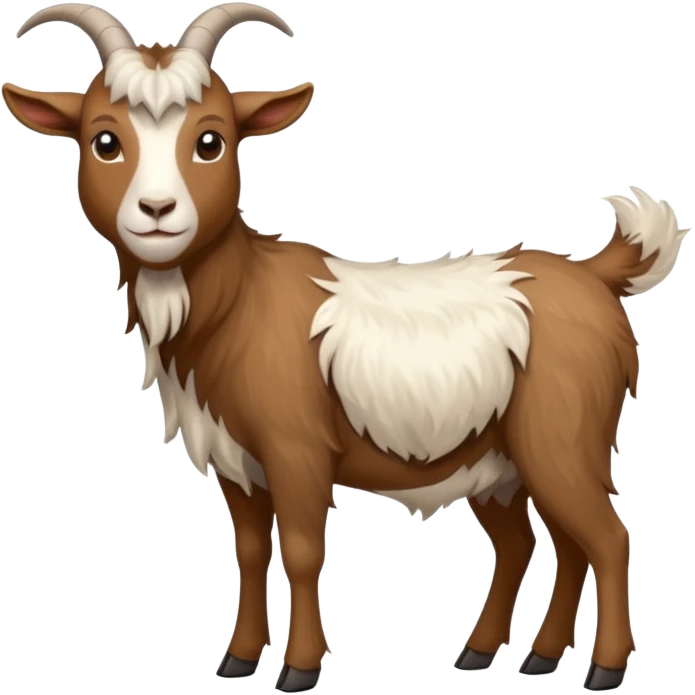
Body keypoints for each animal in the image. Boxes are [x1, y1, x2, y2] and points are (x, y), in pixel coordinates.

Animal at [2, 2, 690, 692]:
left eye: (211, 141)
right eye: (104, 141)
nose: (157, 210)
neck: (241, 297)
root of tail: (596, 274)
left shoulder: (297, 449)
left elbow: (304, 552)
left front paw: (300, 669)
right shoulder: (236, 459)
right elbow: (250, 551)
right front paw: (238, 659)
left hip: (563, 437)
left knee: (606, 538)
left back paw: (602, 668)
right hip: (500, 460)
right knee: (542, 542)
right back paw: (520, 656)